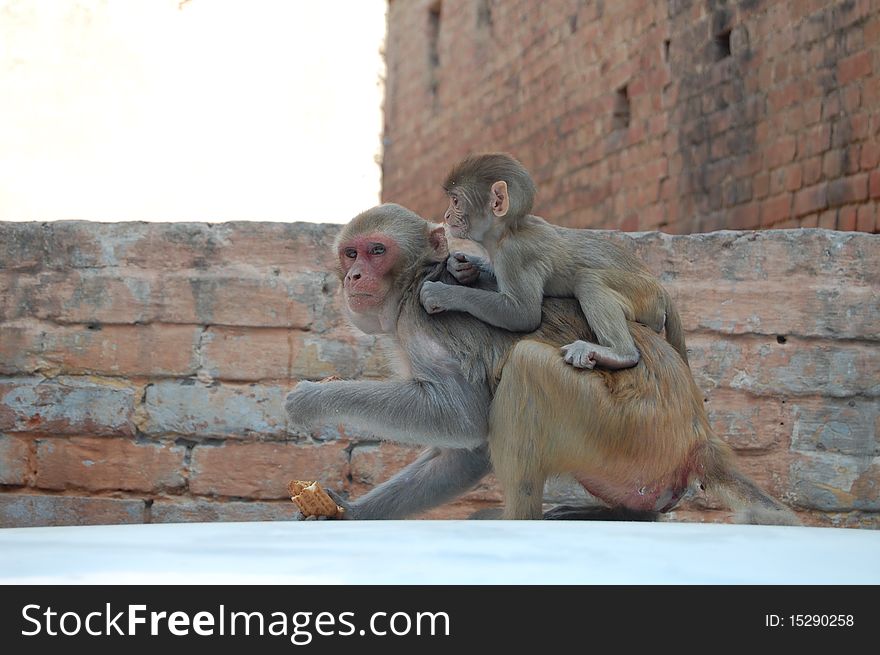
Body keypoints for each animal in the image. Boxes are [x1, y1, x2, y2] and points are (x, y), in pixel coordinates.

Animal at [286, 202, 800, 524]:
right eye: (351, 252)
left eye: (377, 251)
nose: (354, 275)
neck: (413, 282)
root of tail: (699, 437)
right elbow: (465, 452)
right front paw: (349, 511)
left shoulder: (427, 323)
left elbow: (463, 417)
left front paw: (314, 399)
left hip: (630, 431)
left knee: (528, 367)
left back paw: (518, 519)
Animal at [420, 152, 688, 372]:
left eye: (456, 201)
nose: (446, 215)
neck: (508, 231)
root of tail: (662, 291)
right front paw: (461, 266)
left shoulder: (515, 254)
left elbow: (523, 314)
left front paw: (442, 293)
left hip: (642, 294)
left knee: (588, 280)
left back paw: (619, 354)